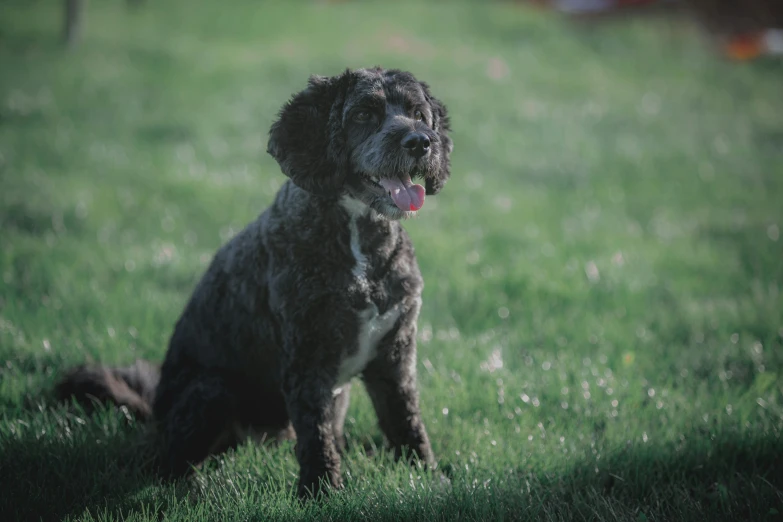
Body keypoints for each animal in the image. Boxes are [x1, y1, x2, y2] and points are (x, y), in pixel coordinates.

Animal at [56, 66, 454, 496]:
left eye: (418, 113)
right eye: (365, 113)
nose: (420, 141)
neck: (359, 240)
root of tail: (154, 412)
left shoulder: (395, 355)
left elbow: (405, 421)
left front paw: (426, 476)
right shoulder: (307, 357)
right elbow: (316, 434)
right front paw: (322, 492)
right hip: (212, 390)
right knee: (169, 461)